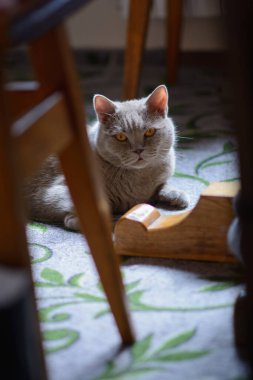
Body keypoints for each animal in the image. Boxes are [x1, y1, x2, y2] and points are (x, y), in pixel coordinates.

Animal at [24, 84, 189, 230]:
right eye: (121, 137)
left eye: (149, 132)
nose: (138, 150)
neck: (139, 178)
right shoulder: (51, 192)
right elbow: (82, 211)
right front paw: (117, 221)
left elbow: (162, 184)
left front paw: (177, 194)